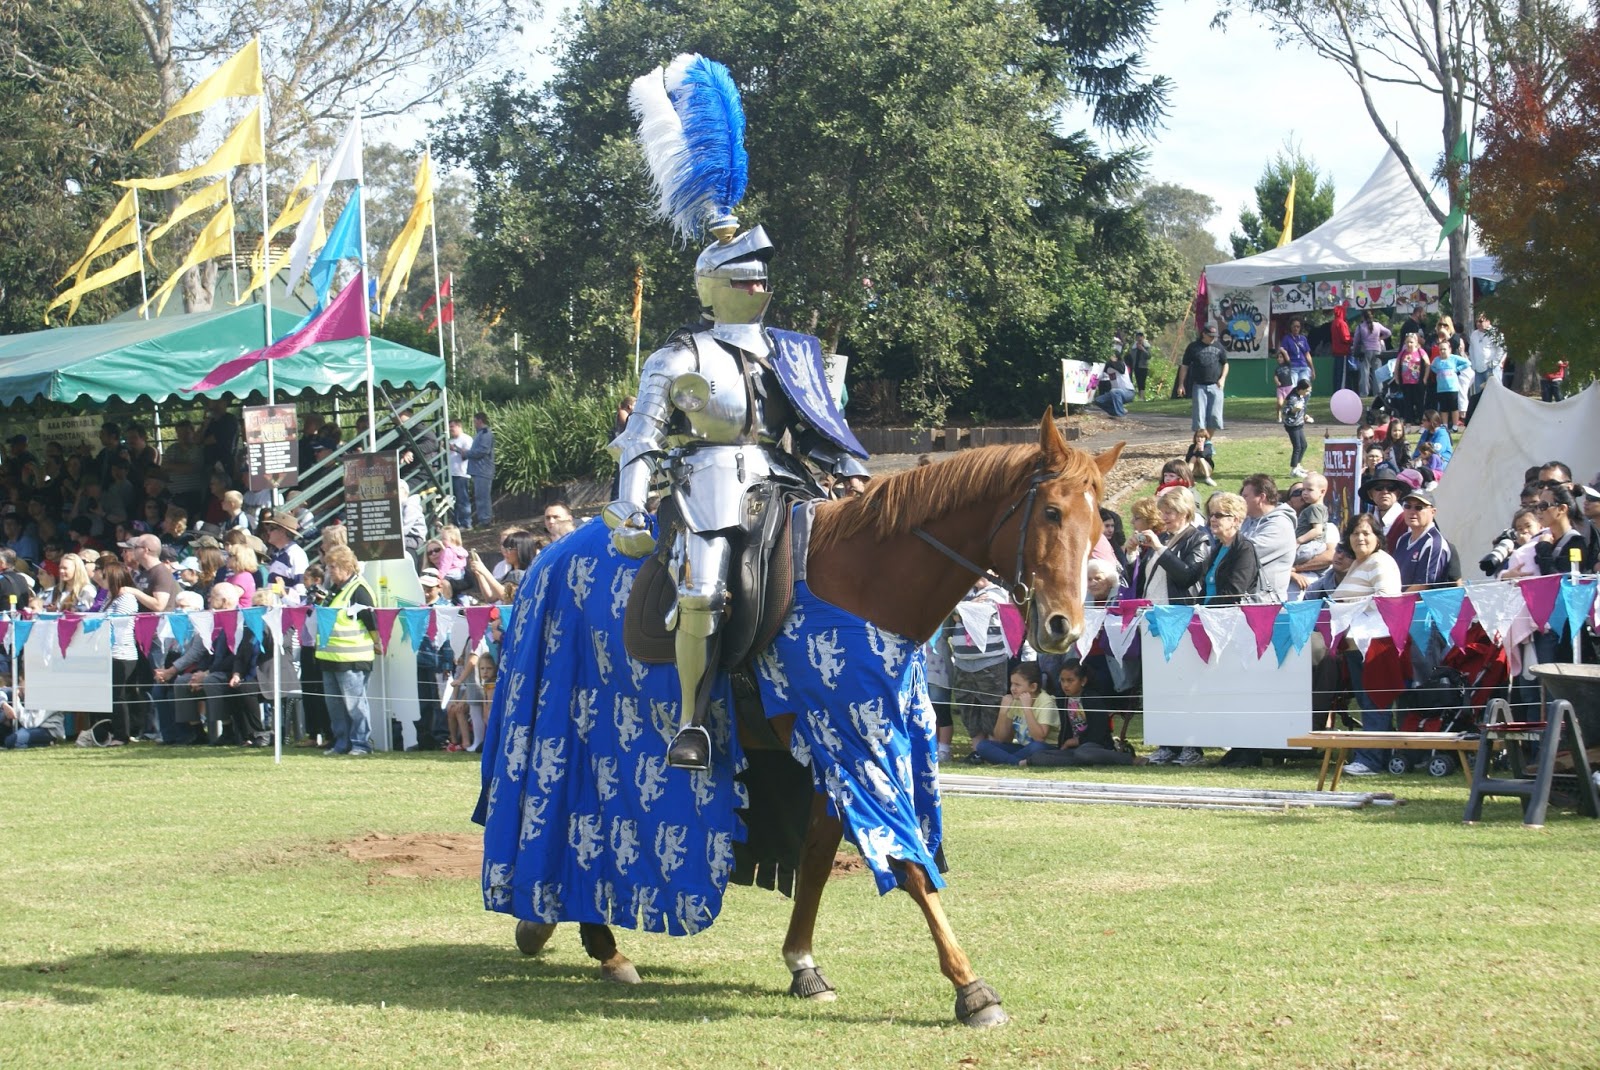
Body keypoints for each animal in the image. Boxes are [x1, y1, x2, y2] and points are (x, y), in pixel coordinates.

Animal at [486, 412, 1126, 1023]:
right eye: (1051, 512)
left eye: (1098, 528)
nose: (1063, 626)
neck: (864, 587)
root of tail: (548, 558)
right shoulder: (854, 744)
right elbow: (908, 860)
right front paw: (971, 988)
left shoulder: (841, 745)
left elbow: (819, 855)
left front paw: (803, 965)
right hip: (578, 725)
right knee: (574, 826)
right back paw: (601, 944)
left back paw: (552, 927)